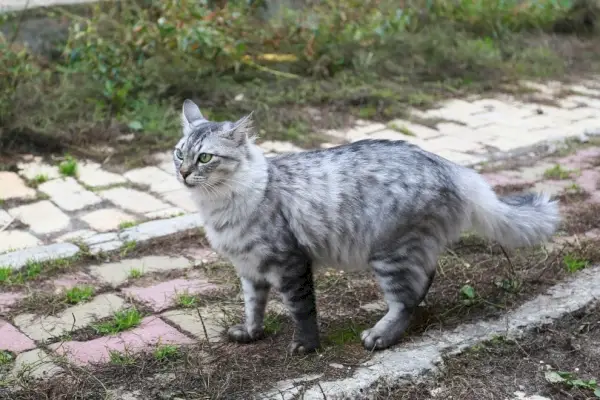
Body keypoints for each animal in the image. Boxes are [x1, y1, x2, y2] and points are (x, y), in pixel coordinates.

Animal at [172, 99, 556, 354]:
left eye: (205, 157)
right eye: (180, 154)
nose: (184, 173)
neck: (220, 206)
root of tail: (451, 167)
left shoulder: (290, 263)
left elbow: (302, 310)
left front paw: (306, 346)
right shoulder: (250, 269)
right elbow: (253, 306)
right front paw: (251, 333)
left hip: (388, 252)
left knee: (405, 298)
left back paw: (380, 336)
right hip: (404, 250)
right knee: (423, 281)